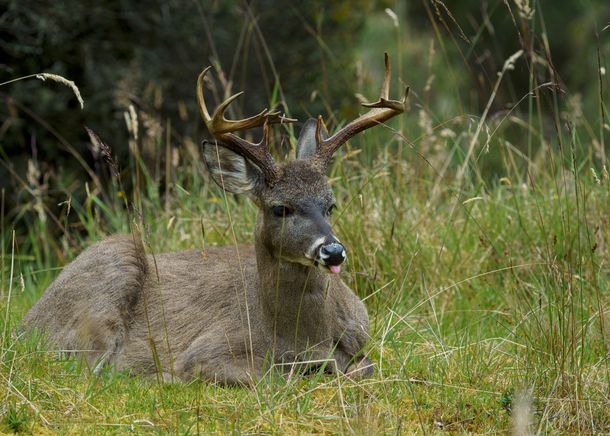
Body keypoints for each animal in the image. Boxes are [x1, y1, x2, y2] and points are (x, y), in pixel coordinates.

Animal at [22, 54, 404, 384]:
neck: (306, 338)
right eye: (280, 208)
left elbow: (362, 366)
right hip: (111, 272)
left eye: (331, 205)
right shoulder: (211, 347)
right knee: (88, 366)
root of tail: (26, 323)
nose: (333, 251)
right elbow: (272, 377)